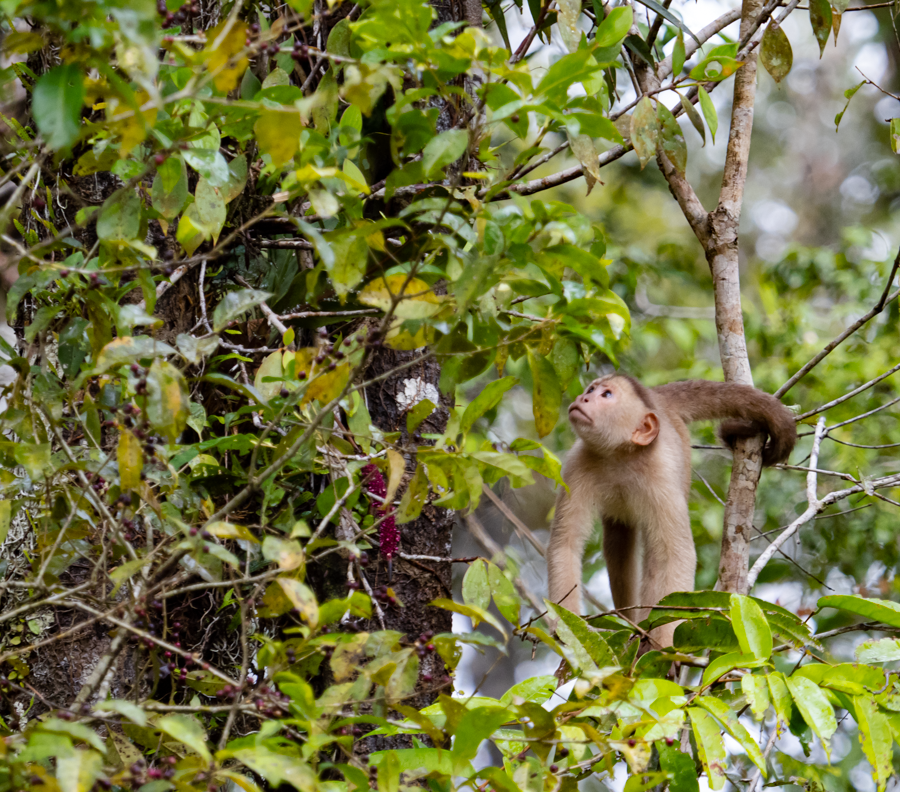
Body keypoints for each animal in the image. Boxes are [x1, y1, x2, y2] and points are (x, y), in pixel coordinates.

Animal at [546, 374, 797, 650]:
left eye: (607, 395)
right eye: (591, 389)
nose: (584, 398)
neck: (620, 454)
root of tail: (658, 398)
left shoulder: (660, 478)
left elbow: (674, 556)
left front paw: (665, 643)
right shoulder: (577, 466)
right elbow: (565, 544)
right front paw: (563, 625)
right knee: (619, 540)